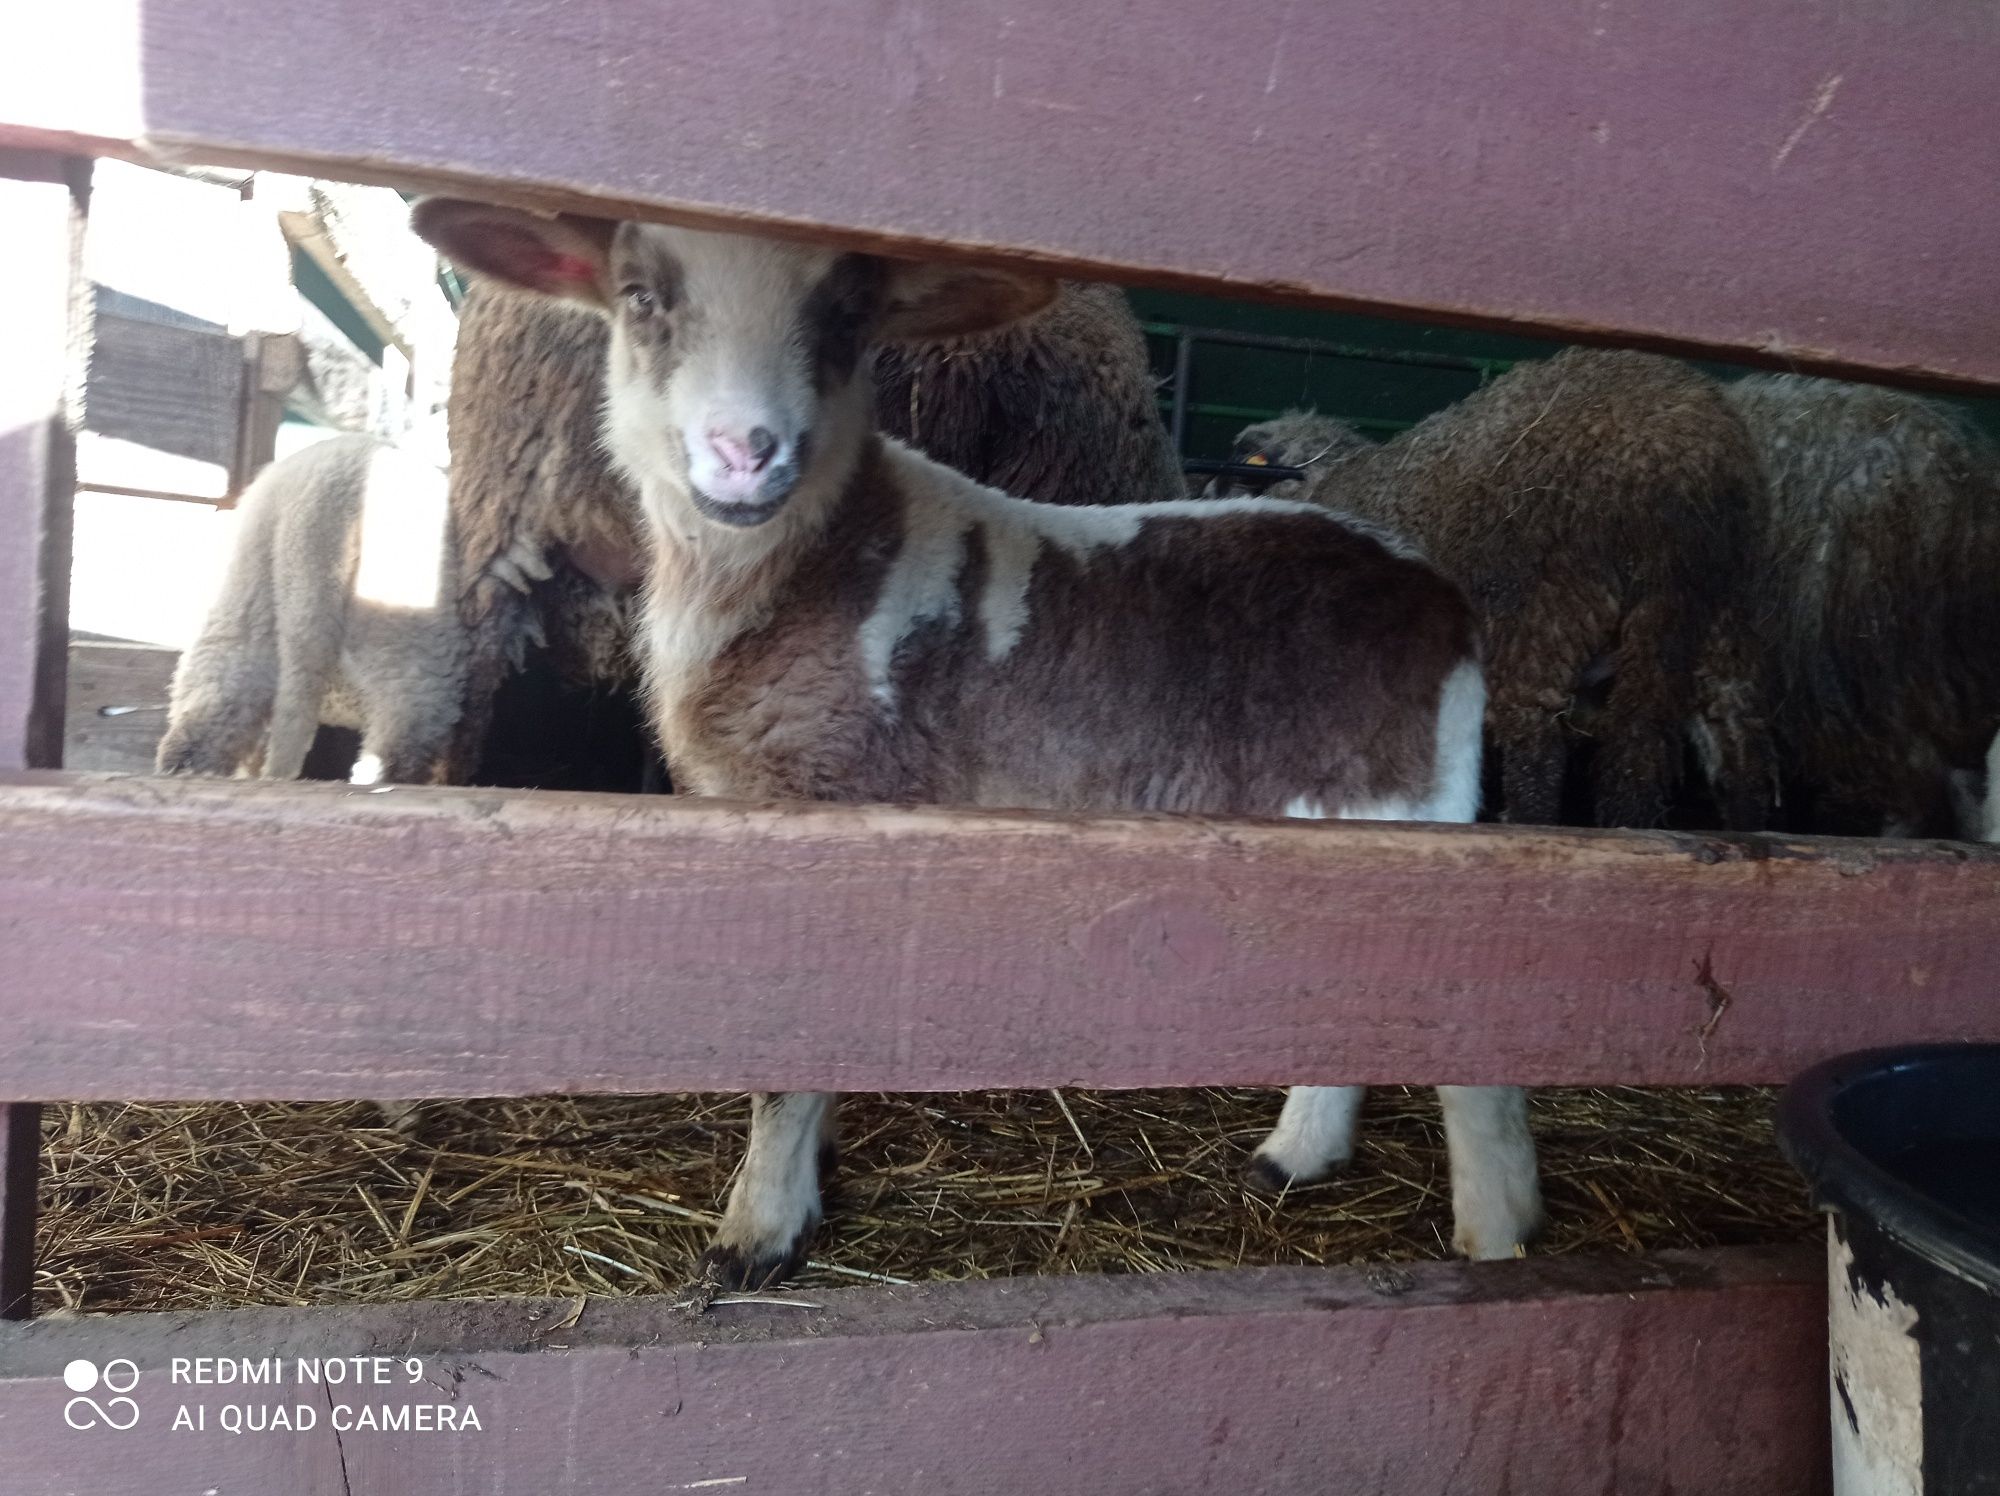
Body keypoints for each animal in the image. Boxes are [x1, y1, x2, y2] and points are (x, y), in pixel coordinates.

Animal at [157, 432, 468, 784]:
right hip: (400, 603)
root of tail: (316, 509)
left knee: (221, 688)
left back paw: (185, 768)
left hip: (248, 580)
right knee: (407, 712)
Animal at [1208, 356, 1776, 836]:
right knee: (1735, 742)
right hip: (1722, 620)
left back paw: (1531, 825)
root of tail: (1685, 458)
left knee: (1539, 744)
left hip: (1543, 607)